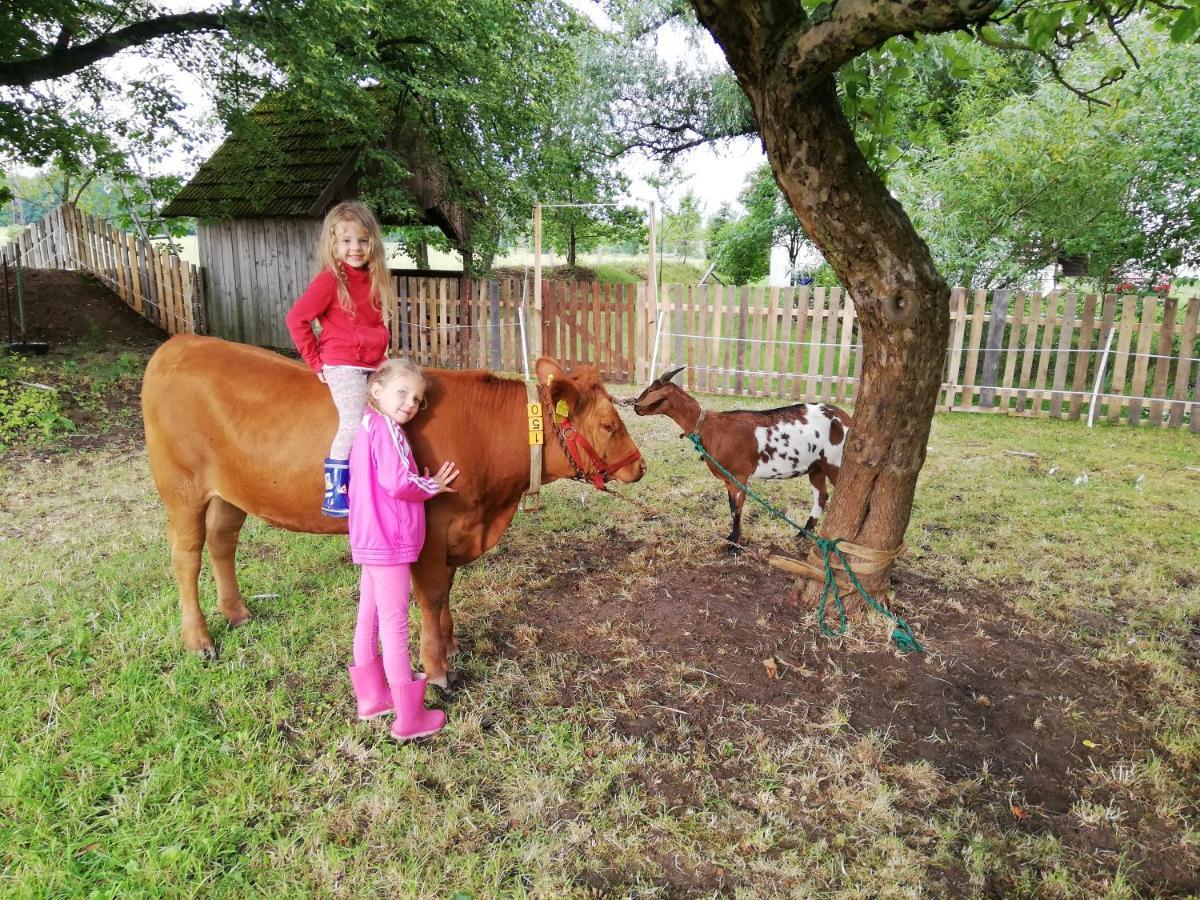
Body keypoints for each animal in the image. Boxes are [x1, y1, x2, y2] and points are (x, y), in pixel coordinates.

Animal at [141, 338, 648, 691]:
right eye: (608, 425)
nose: (640, 466)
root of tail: (180, 343)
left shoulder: (456, 533)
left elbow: (445, 594)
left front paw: (451, 643)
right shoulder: (433, 530)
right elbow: (431, 595)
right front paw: (437, 669)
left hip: (230, 493)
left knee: (222, 542)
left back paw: (237, 613)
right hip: (182, 487)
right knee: (186, 557)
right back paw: (199, 640)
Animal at [628, 364, 854, 549]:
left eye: (651, 390)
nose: (635, 405)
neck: (708, 426)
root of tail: (846, 418)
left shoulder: (739, 475)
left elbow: (737, 509)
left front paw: (734, 544)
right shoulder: (729, 478)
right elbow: (731, 507)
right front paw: (731, 538)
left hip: (834, 462)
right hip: (816, 466)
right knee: (821, 496)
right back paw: (801, 535)